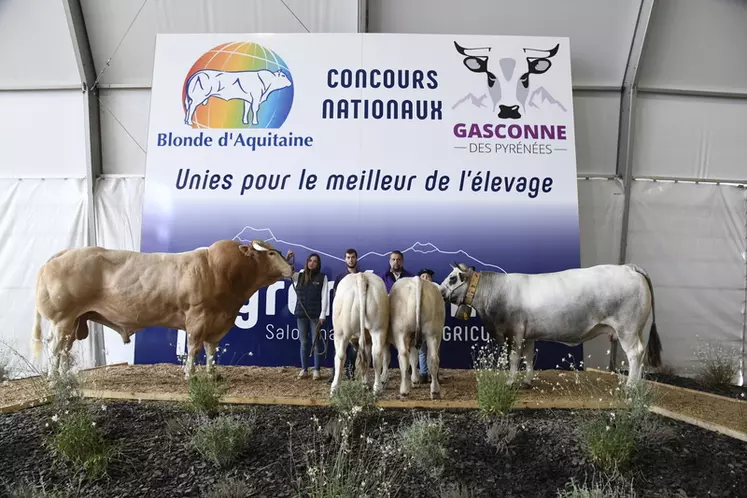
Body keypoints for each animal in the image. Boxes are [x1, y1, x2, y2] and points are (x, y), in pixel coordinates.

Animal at [32, 239, 296, 376]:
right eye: (271, 253)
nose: (292, 268)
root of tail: (64, 253)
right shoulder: (198, 317)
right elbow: (194, 348)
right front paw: (190, 375)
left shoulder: (218, 323)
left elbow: (211, 350)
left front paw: (213, 375)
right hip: (63, 318)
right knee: (56, 348)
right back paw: (54, 380)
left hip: (74, 320)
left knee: (64, 350)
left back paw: (64, 378)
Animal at [438, 262, 668, 388]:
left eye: (452, 278)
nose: (439, 292)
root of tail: (628, 267)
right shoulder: (528, 335)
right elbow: (529, 358)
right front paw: (527, 382)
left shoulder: (514, 333)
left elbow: (514, 359)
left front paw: (510, 382)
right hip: (636, 329)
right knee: (640, 353)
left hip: (626, 329)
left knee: (635, 354)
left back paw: (630, 386)